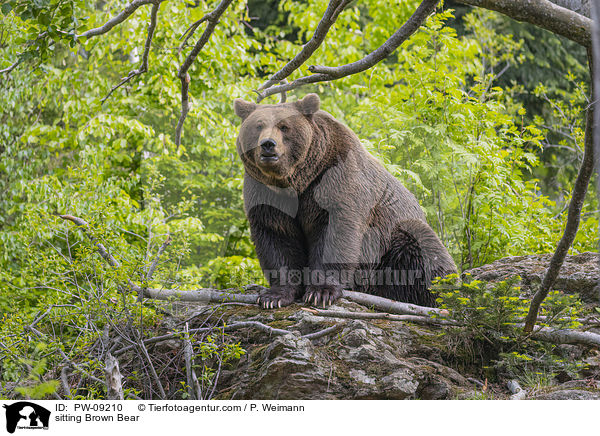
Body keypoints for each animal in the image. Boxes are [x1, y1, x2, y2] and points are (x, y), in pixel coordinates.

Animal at [234, 93, 454, 308]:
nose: (267, 144)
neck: (297, 181)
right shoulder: (267, 194)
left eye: (284, 126)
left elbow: (336, 233)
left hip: (391, 241)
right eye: (258, 125)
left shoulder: (334, 179)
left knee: (422, 251)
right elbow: (276, 236)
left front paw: (321, 292)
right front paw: (274, 296)